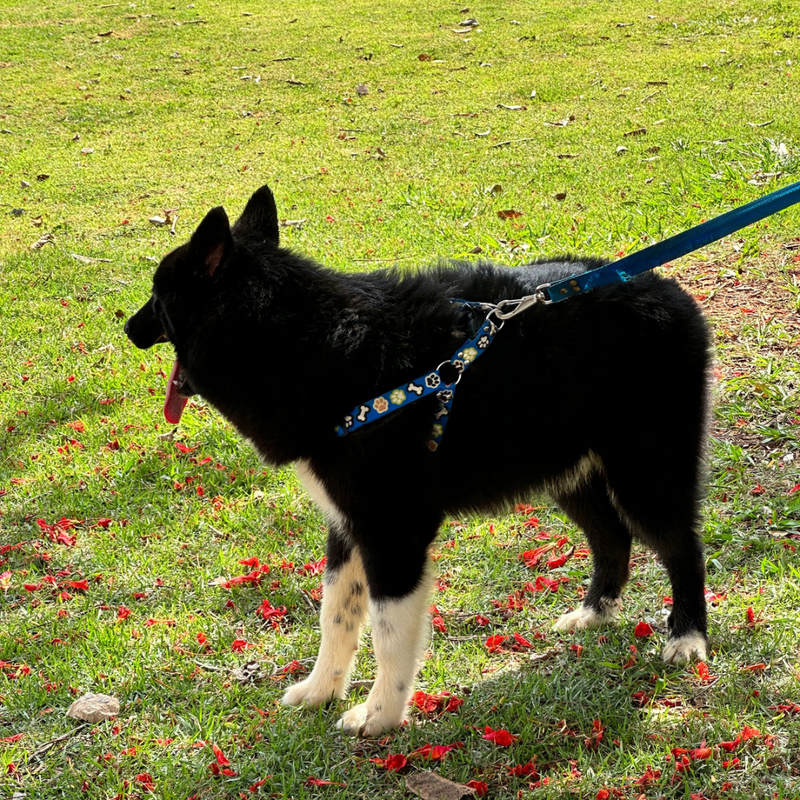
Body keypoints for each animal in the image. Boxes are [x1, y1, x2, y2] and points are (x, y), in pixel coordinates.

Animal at [126, 184, 712, 736]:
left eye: (156, 295)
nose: (127, 328)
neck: (311, 343)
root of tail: (667, 289)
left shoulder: (394, 534)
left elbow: (388, 633)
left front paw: (380, 714)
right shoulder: (349, 526)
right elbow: (336, 614)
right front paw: (321, 690)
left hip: (648, 472)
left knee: (682, 548)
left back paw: (687, 636)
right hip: (569, 472)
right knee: (613, 539)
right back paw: (594, 613)